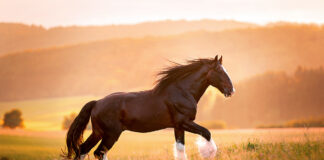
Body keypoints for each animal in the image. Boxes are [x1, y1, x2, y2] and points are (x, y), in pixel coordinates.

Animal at [64, 54, 235, 159]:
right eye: (219, 70)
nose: (231, 90)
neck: (183, 91)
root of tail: (96, 103)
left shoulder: (178, 126)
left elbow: (180, 149)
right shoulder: (185, 122)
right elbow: (207, 132)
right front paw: (209, 153)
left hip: (98, 132)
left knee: (83, 150)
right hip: (111, 134)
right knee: (99, 152)